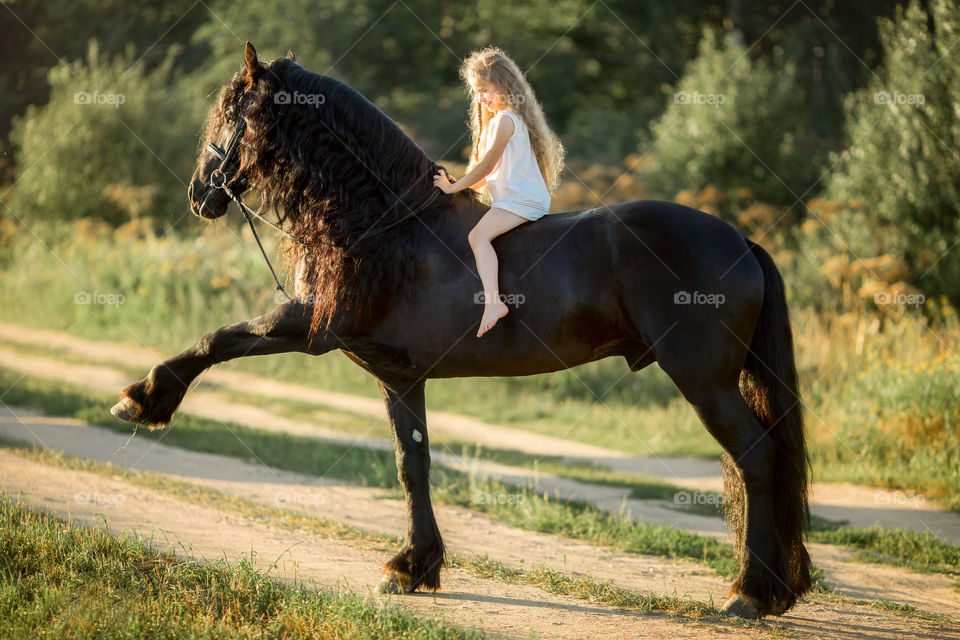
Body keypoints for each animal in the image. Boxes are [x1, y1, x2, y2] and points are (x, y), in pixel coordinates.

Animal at [114, 42, 816, 616]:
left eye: (233, 113)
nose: (198, 193)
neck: (389, 224)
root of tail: (740, 240)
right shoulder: (398, 375)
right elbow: (412, 465)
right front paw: (414, 567)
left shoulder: (312, 327)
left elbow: (223, 337)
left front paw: (146, 397)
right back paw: (773, 588)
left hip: (705, 381)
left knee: (755, 456)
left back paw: (751, 594)